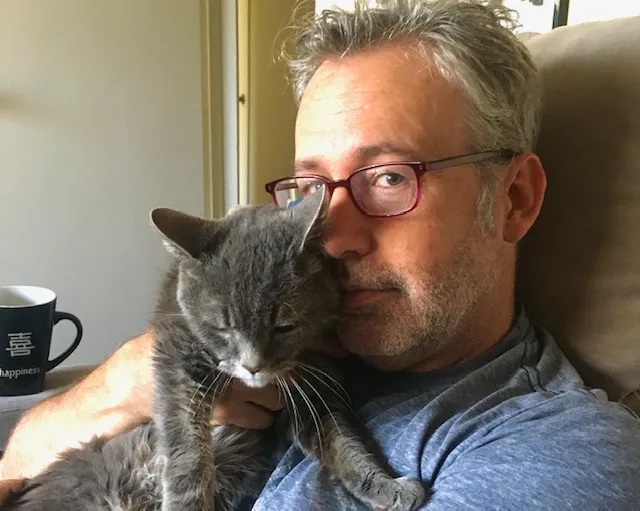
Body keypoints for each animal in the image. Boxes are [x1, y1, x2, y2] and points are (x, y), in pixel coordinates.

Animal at [5, 190, 428, 510]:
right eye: (223, 327)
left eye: (284, 326)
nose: (253, 366)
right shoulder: (175, 352)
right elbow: (187, 446)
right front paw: (188, 502)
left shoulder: (315, 381)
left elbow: (342, 441)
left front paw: (388, 487)